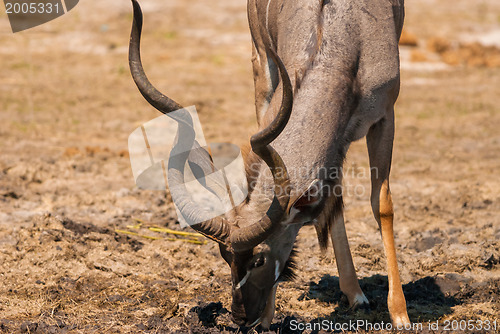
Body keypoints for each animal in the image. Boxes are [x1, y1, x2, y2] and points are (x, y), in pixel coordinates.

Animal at [128, 0, 410, 328]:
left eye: (259, 259)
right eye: (225, 256)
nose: (241, 317)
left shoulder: (385, 116)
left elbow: (382, 204)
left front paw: (400, 314)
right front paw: (266, 320)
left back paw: (357, 295)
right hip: (262, 69)